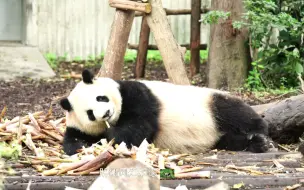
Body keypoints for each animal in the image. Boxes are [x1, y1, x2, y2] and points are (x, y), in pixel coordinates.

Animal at [60, 69, 270, 155]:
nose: (105, 114)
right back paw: (254, 143)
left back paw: (261, 133)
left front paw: (112, 136)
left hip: (210, 102)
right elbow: (73, 142)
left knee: (235, 113)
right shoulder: (80, 128)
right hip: (217, 137)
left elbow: (138, 127)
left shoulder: (136, 95)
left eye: (100, 98)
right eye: (90, 113)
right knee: (229, 140)